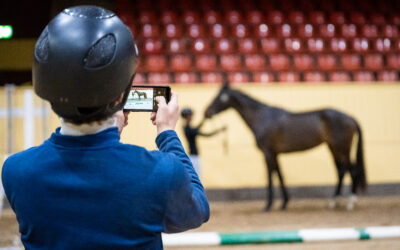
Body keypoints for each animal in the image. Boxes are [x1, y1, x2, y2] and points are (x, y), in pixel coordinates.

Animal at [205, 83, 368, 211]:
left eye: (219, 97)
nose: (206, 113)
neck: (262, 117)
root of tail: (351, 118)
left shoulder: (267, 153)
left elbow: (271, 177)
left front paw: (268, 205)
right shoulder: (275, 154)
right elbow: (280, 175)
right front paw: (284, 203)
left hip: (342, 149)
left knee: (352, 171)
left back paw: (350, 203)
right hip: (333, 149)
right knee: (341, 172)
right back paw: (334, 202)